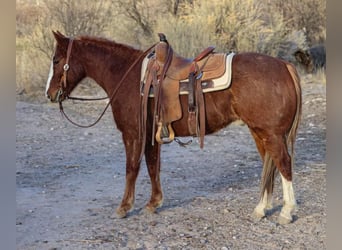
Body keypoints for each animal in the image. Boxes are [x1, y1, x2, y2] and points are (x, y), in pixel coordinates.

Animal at [45, 31, 302, 225]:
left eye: (56, 60)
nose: (49, 94)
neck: (127, 76)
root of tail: (285, 65)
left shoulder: (133, 134)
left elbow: (132, 169)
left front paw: (124, 207)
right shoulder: (151, 134)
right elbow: (152, 167)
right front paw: (154, 203)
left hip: (272, 134)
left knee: (284, 164)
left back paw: (286, 212)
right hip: (259, 132)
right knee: (270, 164)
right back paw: (261, 209)